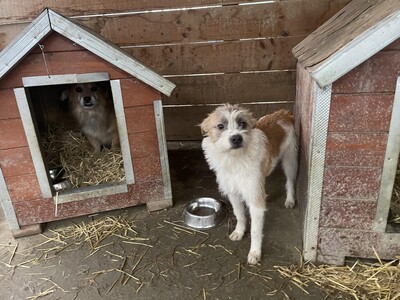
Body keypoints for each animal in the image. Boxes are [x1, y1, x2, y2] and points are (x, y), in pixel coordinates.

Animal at [200, 104, 296, 264]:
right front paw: (239, 231)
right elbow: (239, 214)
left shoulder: (254, 197)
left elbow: (256, 230)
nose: (236, 138)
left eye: (242, 124)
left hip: (290, 160)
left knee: (290, 181)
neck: (235, 159)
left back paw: (290, 199)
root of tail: (283, 113)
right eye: (220, 126)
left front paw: (255, 252)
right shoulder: (233, 193)